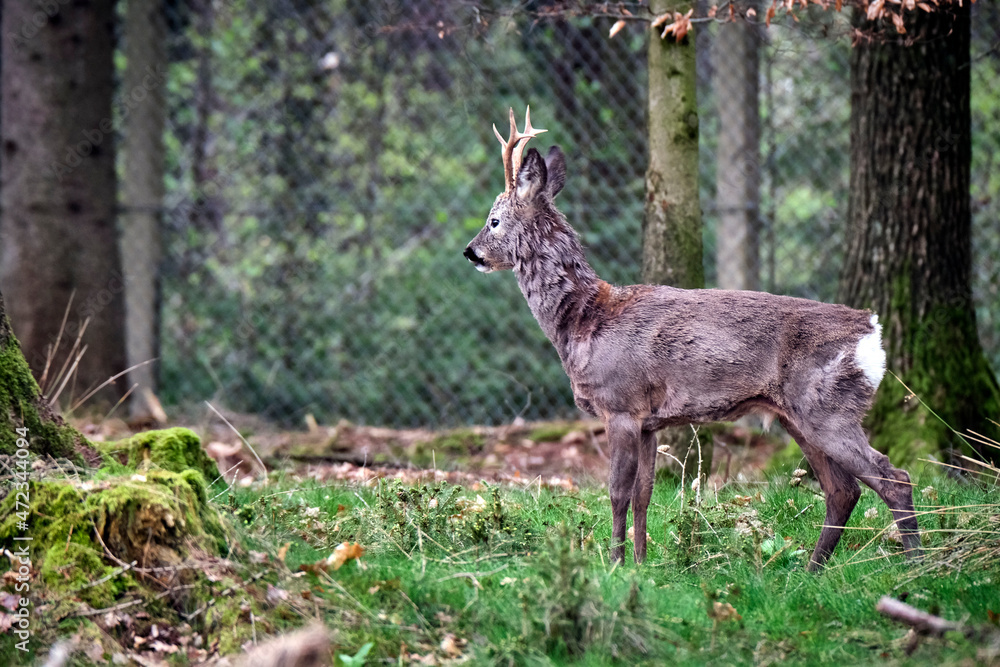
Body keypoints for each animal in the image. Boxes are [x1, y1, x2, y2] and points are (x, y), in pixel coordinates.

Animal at [464, 108, 916, 568]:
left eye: (493, 221)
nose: (470, 252)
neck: (584, 321)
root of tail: (871, 329)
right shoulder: (649, 421)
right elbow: (644, 494)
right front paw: (641, 564)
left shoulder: (620, 405)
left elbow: (617, 493)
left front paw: (615, 564)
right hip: (799, 416)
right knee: (844, 489)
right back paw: (812, 570)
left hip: (828, 406)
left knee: (893, 476)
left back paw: (916, 564)